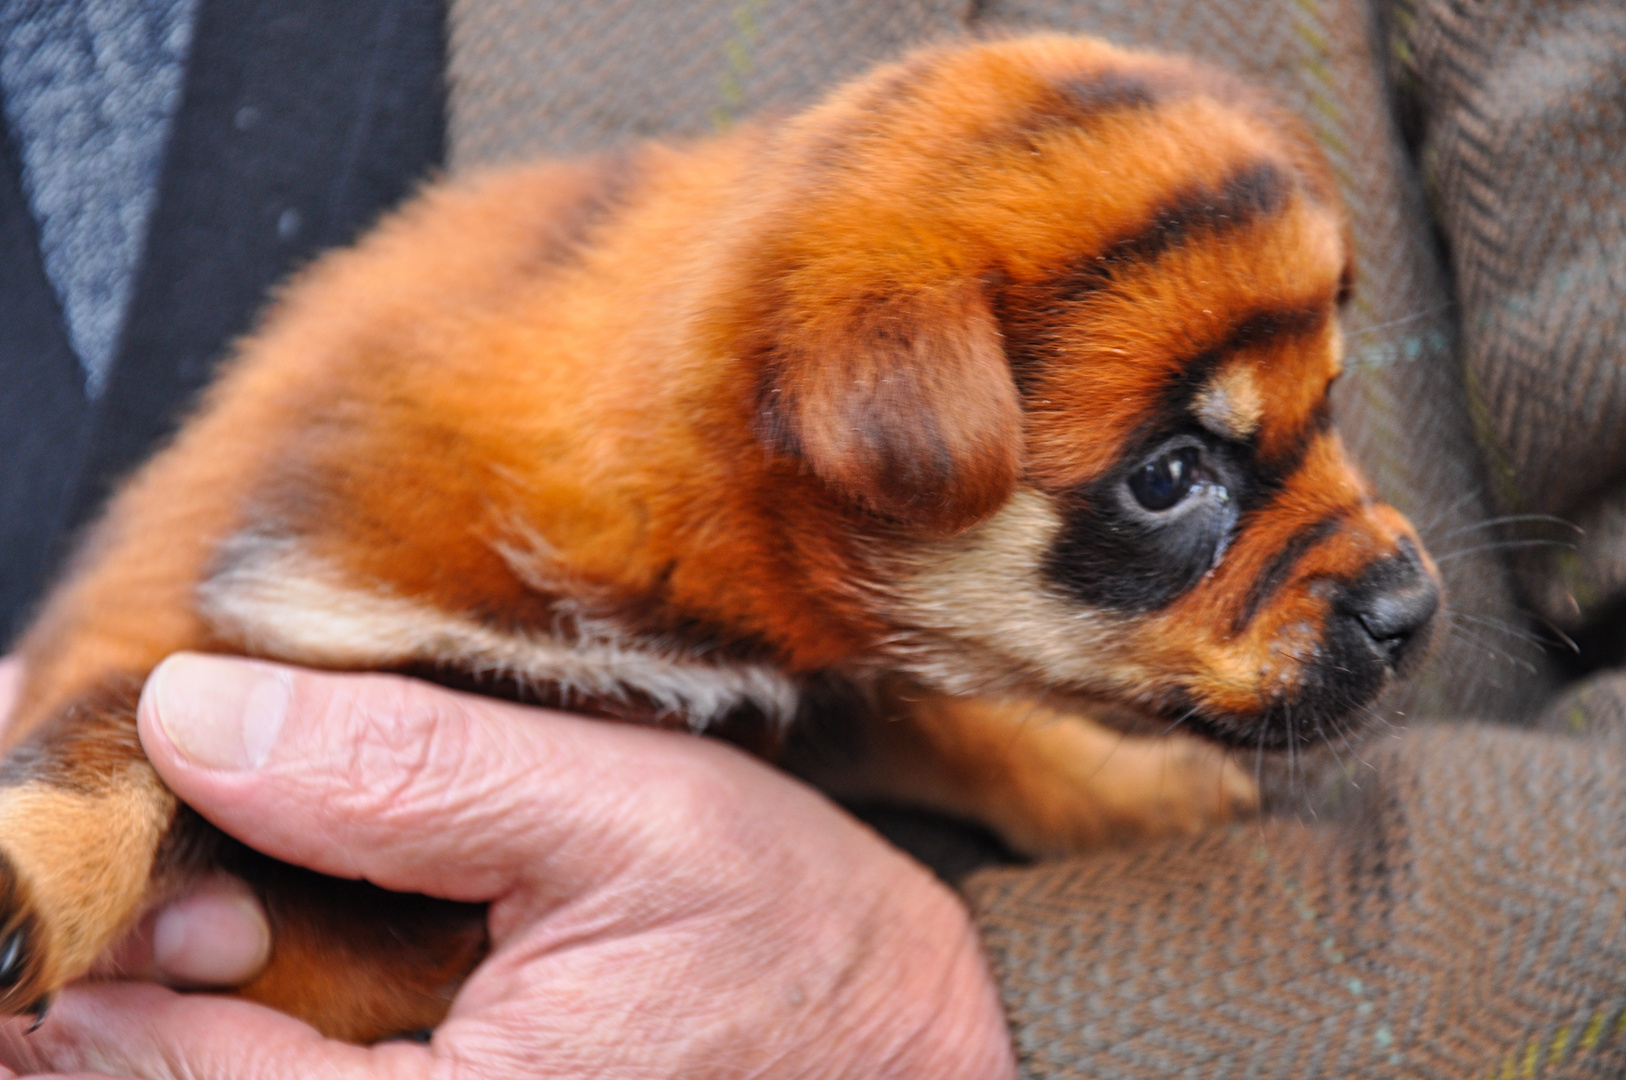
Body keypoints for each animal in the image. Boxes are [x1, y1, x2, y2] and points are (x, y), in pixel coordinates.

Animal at [9, 33, 1437, 1040]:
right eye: (1171, 477)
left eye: (1330, 404)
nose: (1413, 612)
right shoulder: (256, 640)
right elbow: (120, 740)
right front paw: (33, 875)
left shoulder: (804, 690)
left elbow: (955, 723)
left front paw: (1129, 788)